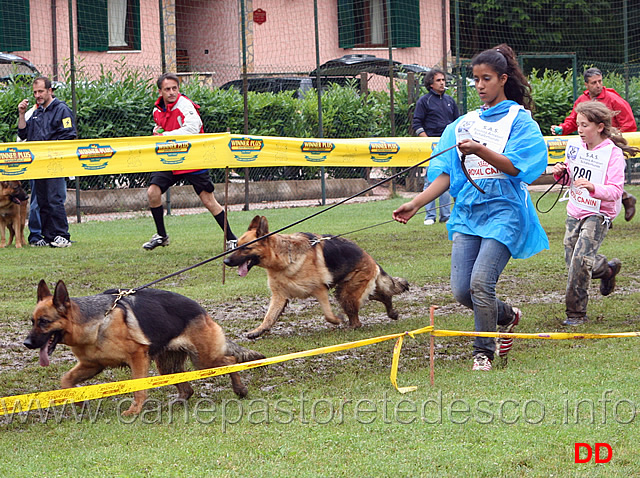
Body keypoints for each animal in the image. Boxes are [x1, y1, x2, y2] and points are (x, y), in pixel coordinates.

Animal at [24, 280, 264, 414]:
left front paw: (134, 411)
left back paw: (240, 389)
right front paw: (79, 402)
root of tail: (202, 310)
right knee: (187, 388)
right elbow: (66, 380)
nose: (26, 343)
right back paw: (178, 402)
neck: (97, 321)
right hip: (168, 366)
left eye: (44, 322)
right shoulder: (92, 365)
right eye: (32, 321)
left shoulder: (137, 356)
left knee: (230, 361)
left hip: (204, 359)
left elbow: (139, 389)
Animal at [222, 215, 408, 338]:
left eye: (245, 248)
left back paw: (351, 327)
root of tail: (371, 259)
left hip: (347, 293)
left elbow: (328, 315)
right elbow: (269, 317)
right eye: (236, 246)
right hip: (349, 290)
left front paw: (337, 320)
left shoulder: (320, 290)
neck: (284, 258)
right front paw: (258, 330)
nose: (225, 261)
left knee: (358, 317)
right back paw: (391, 313)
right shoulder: (279, 296)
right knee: (383, 295)